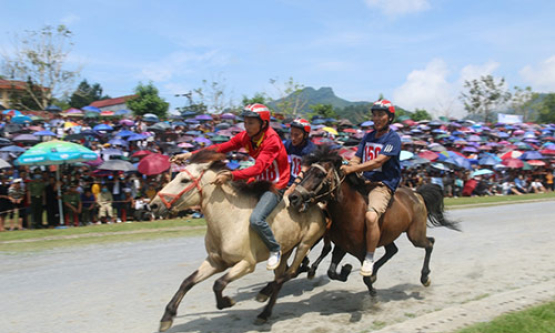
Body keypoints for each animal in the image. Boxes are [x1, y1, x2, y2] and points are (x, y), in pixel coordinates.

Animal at [150, 150, 328, 330]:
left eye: (184, 180)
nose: (153, 205)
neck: (229, 221)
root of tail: (316, 204)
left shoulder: (246, 264)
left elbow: (218, 283)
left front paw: (226, 302)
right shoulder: (215, 262)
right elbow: (187, 282)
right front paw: (167, 317)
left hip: (305, 244)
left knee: (288, 274)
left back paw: (265, 295)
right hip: (285, 251)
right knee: (281, 277)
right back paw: (264, 312)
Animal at [288, 145, 458, 294]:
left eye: (319, 175)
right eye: (306, 173)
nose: (293, 197)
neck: (349, 211)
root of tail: (417, 194)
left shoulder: (362, 250)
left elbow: (364, 276)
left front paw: (370, 290)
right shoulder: (342, 246)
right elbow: (332, 271)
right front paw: (346, 270)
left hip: (415, 234)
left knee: (429, 244)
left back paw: (424, 277)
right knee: (394, 250)